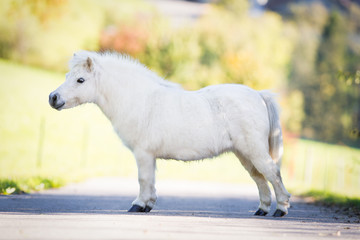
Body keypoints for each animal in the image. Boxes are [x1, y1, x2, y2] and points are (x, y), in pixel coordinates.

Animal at [48, 50, 290, 218]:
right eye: (68, 75)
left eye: (80, 80)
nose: (53, 98)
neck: (139, 100)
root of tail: (258, 94)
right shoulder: (149, 156)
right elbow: (151, 181)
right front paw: (147, 204)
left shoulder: (143, 154)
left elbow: (143, 179)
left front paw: (138, 205)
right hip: (245, 154)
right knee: (259, 178)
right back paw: (262, 209)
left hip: (254, 151)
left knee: (273, 174)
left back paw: (281, 209)